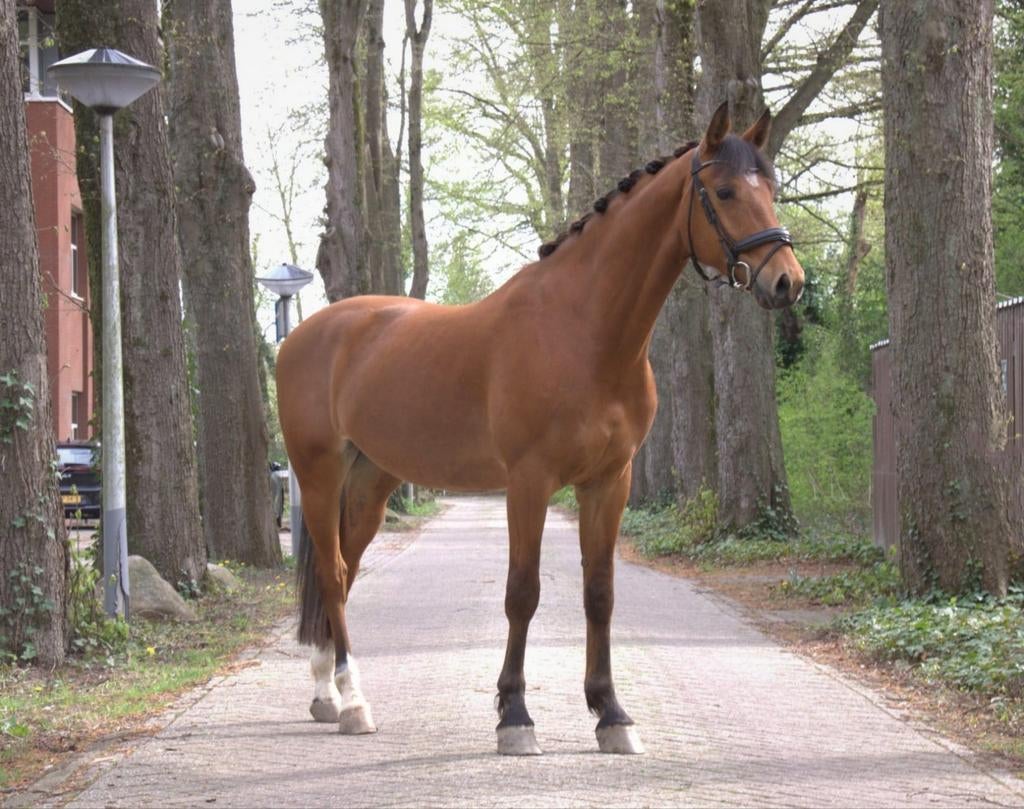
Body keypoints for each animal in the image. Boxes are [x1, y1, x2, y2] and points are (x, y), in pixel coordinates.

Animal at [276, 102, 805, 756]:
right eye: (726, 191)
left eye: (771, 189)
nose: (787, 281)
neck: (583, 332)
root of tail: (303, 336)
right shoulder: (528, 482)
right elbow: (522, 594)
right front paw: (515, 715)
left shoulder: (610, 481)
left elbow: (599, 592)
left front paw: (611, 714)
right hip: (319, 475)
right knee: (331, 572)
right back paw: (354, 702)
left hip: (370, 482)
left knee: (343, 575)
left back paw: (326, 693)